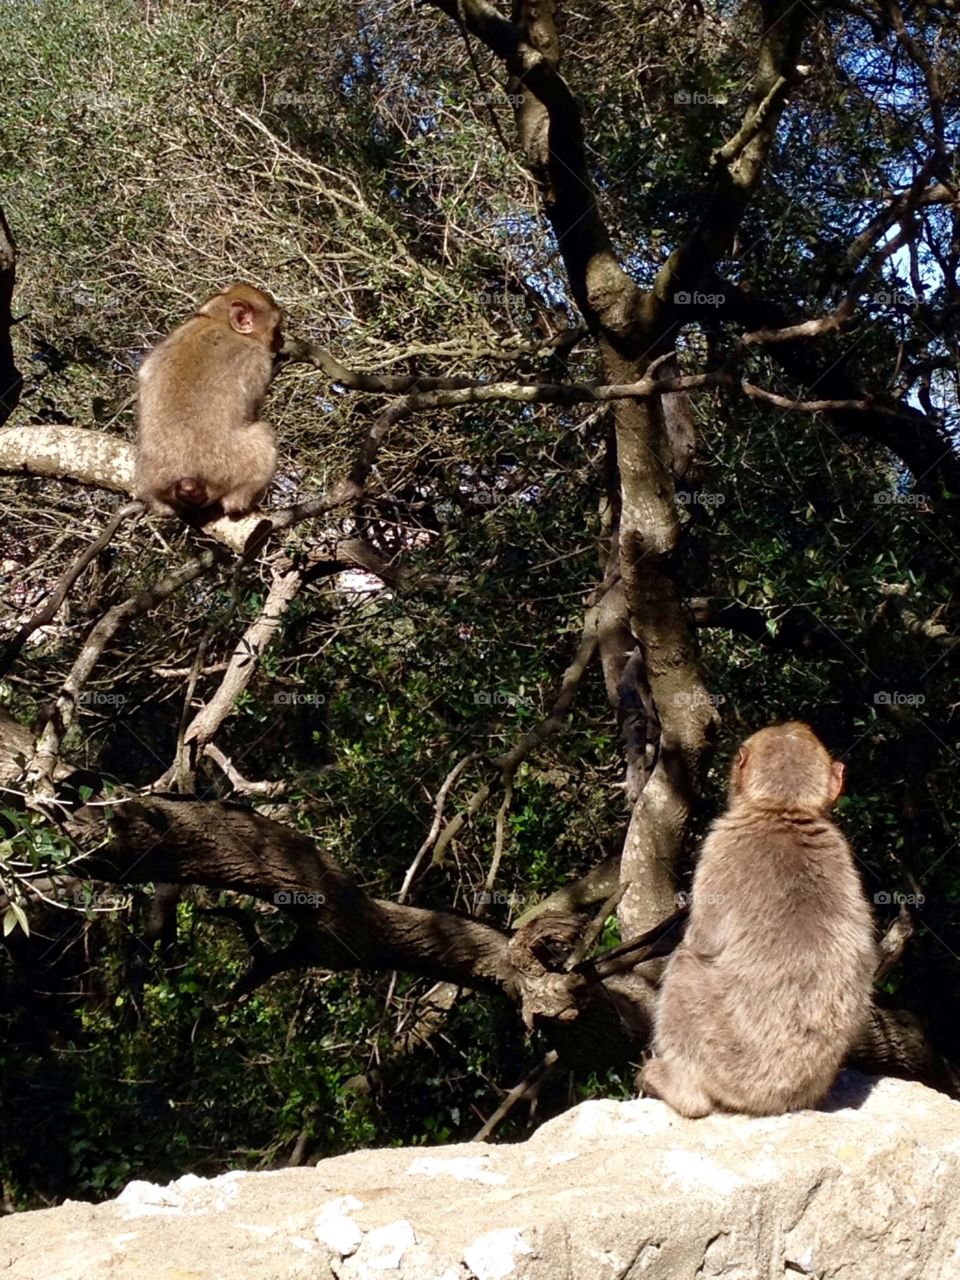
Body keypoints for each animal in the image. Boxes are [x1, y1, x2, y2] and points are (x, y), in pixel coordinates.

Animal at [640, 721, 880, 1121]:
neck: (782, 811)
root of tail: (774, 1101)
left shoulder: (719, 843)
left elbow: (700, 940)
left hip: (724, 1059)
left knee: (686, 967)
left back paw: (678, 1089)